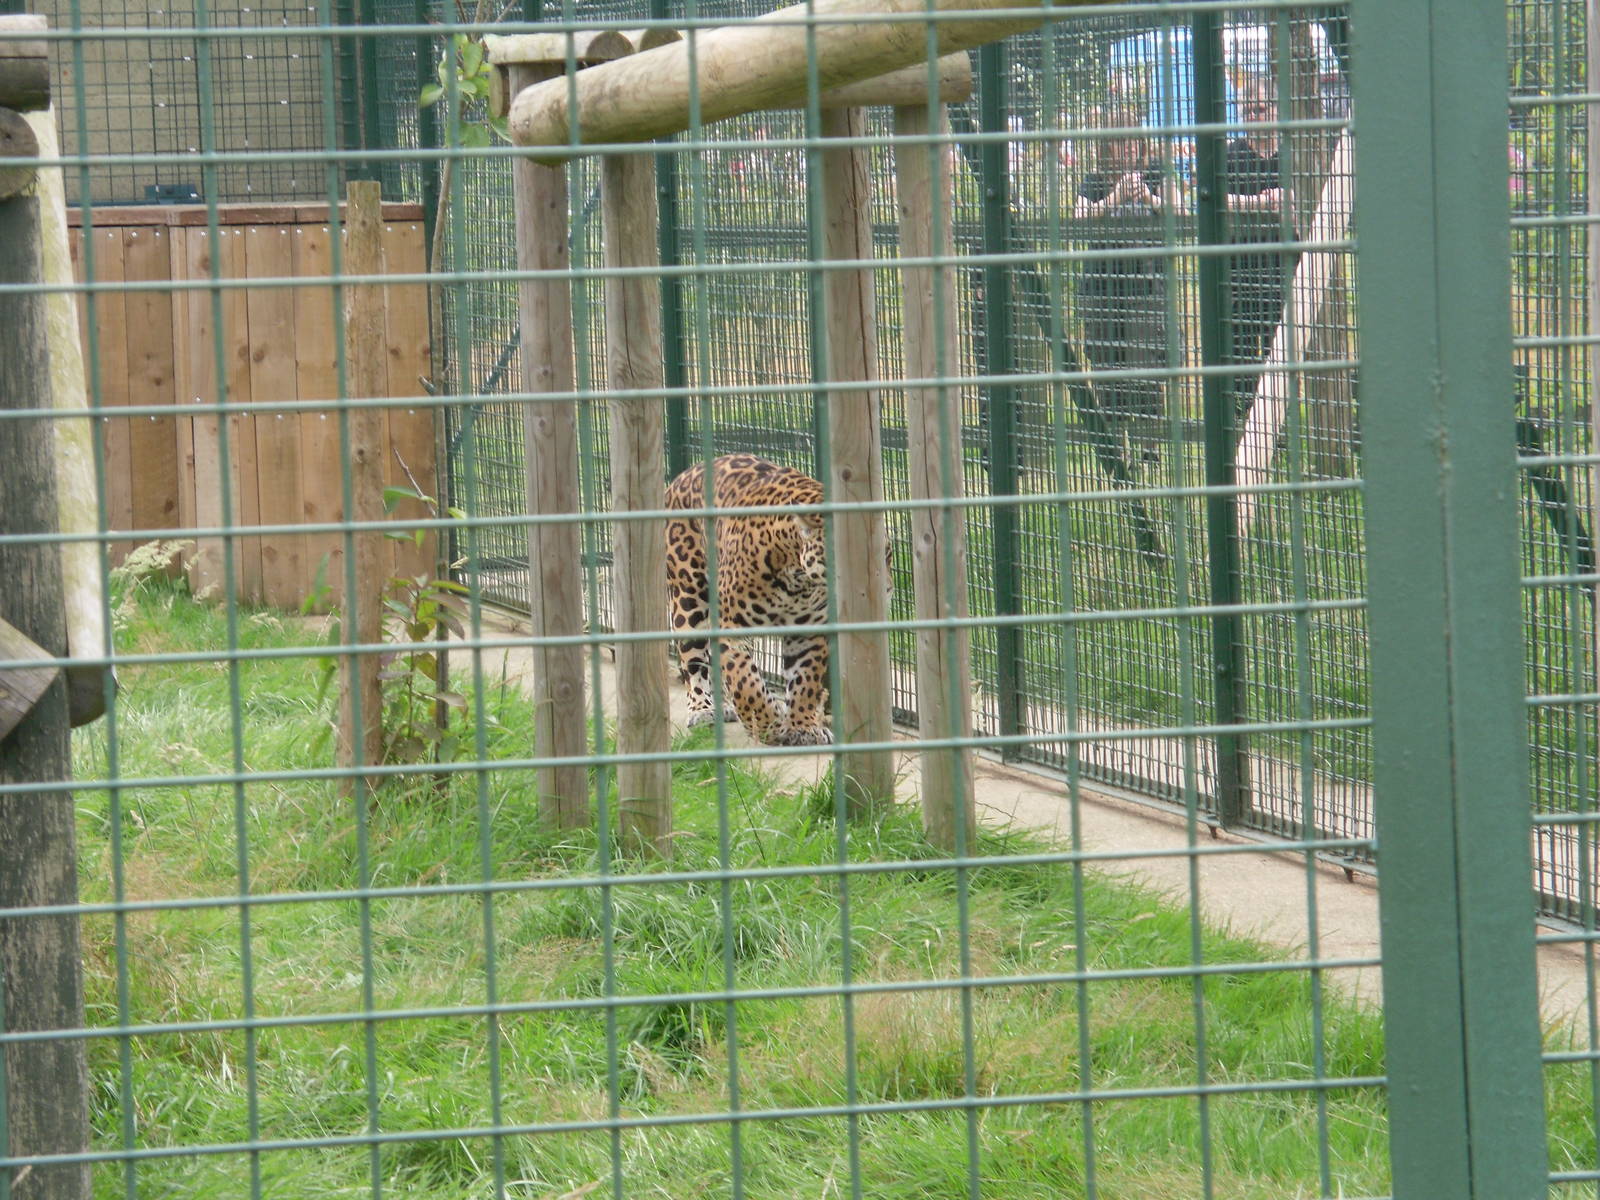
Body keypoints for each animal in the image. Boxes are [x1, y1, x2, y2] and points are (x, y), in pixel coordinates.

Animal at [665, 454, 836, 747]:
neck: (798, 579)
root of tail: (683, 474)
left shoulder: (808, 631)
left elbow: (805, 681)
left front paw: (804, 727)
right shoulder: (733, 626)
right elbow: (746, 682)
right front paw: (768, 725)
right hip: (689, 600)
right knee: (694, 660)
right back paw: (704, 710)